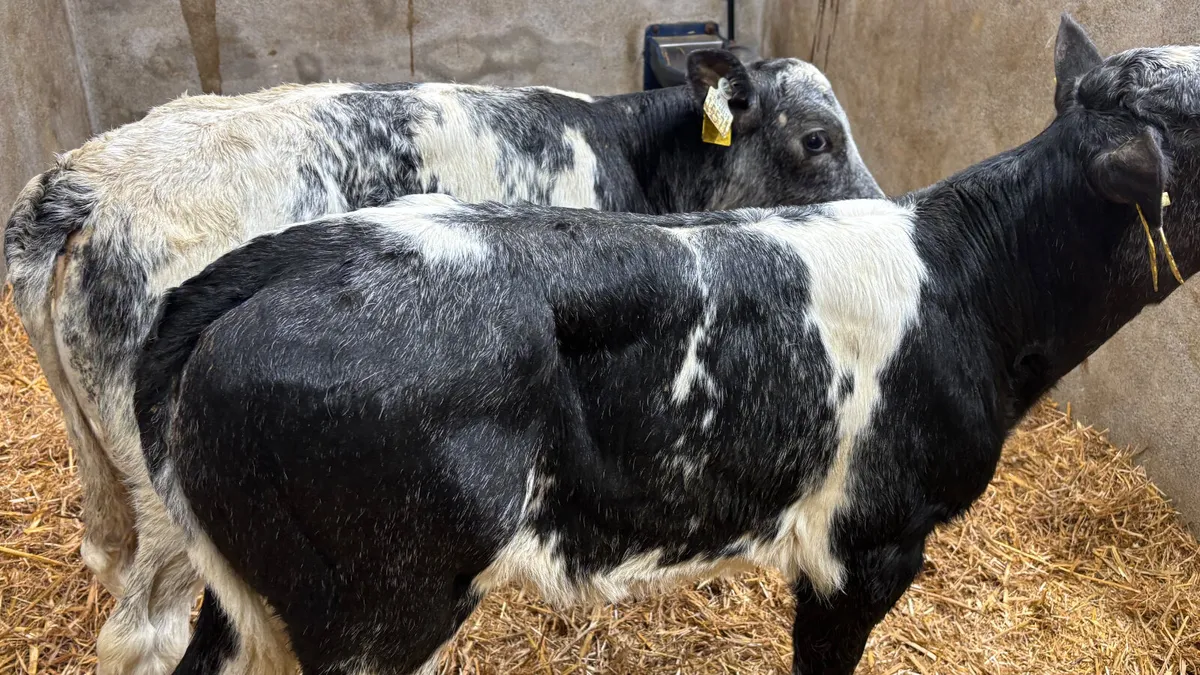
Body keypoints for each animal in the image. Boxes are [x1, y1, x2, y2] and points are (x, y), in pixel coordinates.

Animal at [131, 15, 1200, 675]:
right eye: (816, 141)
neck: (969, 283)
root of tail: (277, 265)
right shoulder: (868, 542)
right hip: (377, 605)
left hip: (248, 598)